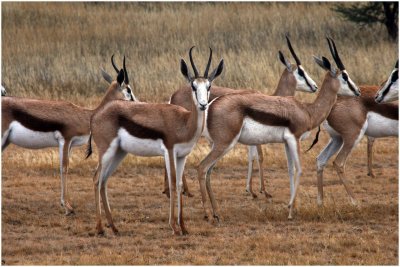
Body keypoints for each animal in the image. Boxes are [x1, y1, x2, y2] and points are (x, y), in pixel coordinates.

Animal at [0, 57, 135, 216]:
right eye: (128, 90)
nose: (136, 103)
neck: (86, 115)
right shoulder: (65, 140)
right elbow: (64, 167)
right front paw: (68, 207)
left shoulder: (69, 145)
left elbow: (65, 167)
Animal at [86, 47, 223, 236]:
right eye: (193, 86)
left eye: (209, 86)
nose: (203, 105)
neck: (184, 122)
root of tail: (95, 114)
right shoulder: (169, 152)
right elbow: (172, 184)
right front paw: (174, 227)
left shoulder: (182, 156)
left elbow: (179, 185)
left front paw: (183, 227)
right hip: (106, 152)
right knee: (96, 178)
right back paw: (100, 228)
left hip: (119, 153)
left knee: (104, 181)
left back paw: (114, 227)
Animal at [197, 37, 360, 222]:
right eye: (345, 76)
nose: (358, 91)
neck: (307, 110)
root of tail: (210, 105)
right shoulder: (294, 139)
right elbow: (299, 169)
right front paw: (290, 212)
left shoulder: (286, 142)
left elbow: (290, 170)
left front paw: (291, 207)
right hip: (224, 144)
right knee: (201, 168)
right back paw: (208, 214)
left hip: (220, 145)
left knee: (208, 172)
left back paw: (217, 213)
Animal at [316, 58, 396, 206]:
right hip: (353, 137)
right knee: (339, 163)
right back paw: (356, 202)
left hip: (337, 139)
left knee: (320, 159)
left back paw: (320, 202)